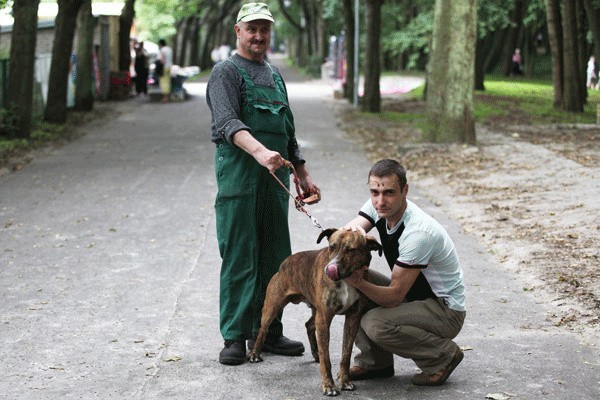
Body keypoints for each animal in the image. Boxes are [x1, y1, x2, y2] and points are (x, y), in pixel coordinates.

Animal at [250, 228, 384, 396]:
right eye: (331, 247)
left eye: (351, 250)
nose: (329, 268)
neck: (347, 280)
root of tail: (285, 263)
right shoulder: (324, 318)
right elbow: (326, 359)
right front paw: (328, 386)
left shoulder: (353, 318)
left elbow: (346, 354)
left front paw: (345, 381)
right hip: (273, 306)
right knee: (263, 329)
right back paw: (255, 354)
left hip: (315, 311)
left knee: (309, 325)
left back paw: (315, 353)